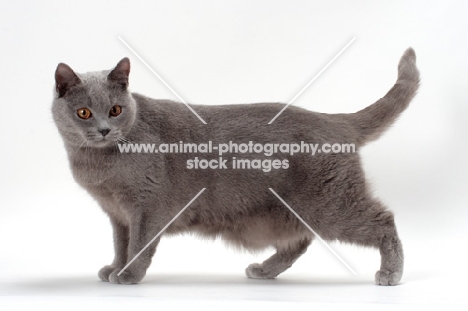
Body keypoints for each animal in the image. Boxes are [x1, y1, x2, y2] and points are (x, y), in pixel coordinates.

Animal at [52, 49, 420, 288]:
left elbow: (138, 245)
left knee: (383, 221)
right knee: (297, 243)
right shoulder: (117, 214)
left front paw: (128, 275)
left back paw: (391, 274)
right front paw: (114, 268)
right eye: (84, 112)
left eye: (115, 110)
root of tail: (335, 119)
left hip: (329, 205)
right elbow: (120, 243)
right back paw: (264, 271)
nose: (104, 130)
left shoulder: (148, 207)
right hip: (283, 213)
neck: (98, 165)